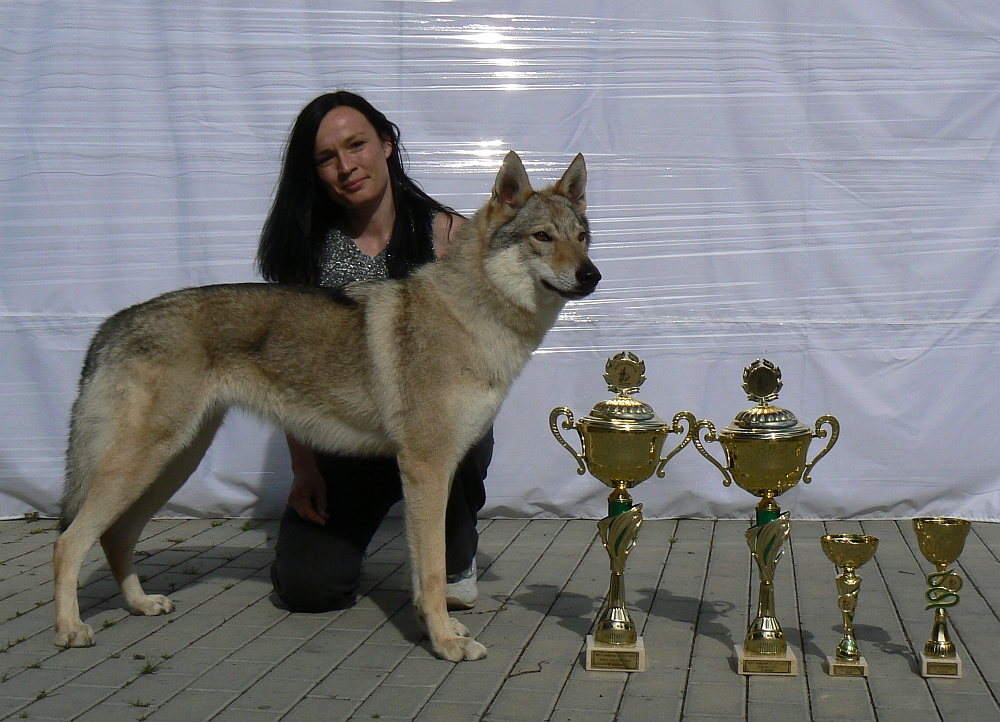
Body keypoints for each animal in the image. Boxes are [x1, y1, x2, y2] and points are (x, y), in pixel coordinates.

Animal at [54, 150, 596, 660]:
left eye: (583, 236)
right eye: (543, 237)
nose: (592, 275)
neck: (471, 314)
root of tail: (114, 323)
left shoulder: (431, 469)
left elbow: (424, 576)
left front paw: (436, 629)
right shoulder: (426, 466)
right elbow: (433, 572)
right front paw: (445, 644)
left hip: (173, 463)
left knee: (114, 537)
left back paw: (140, 604)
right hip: (147, 462)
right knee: (68, 542)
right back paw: (70, 630)